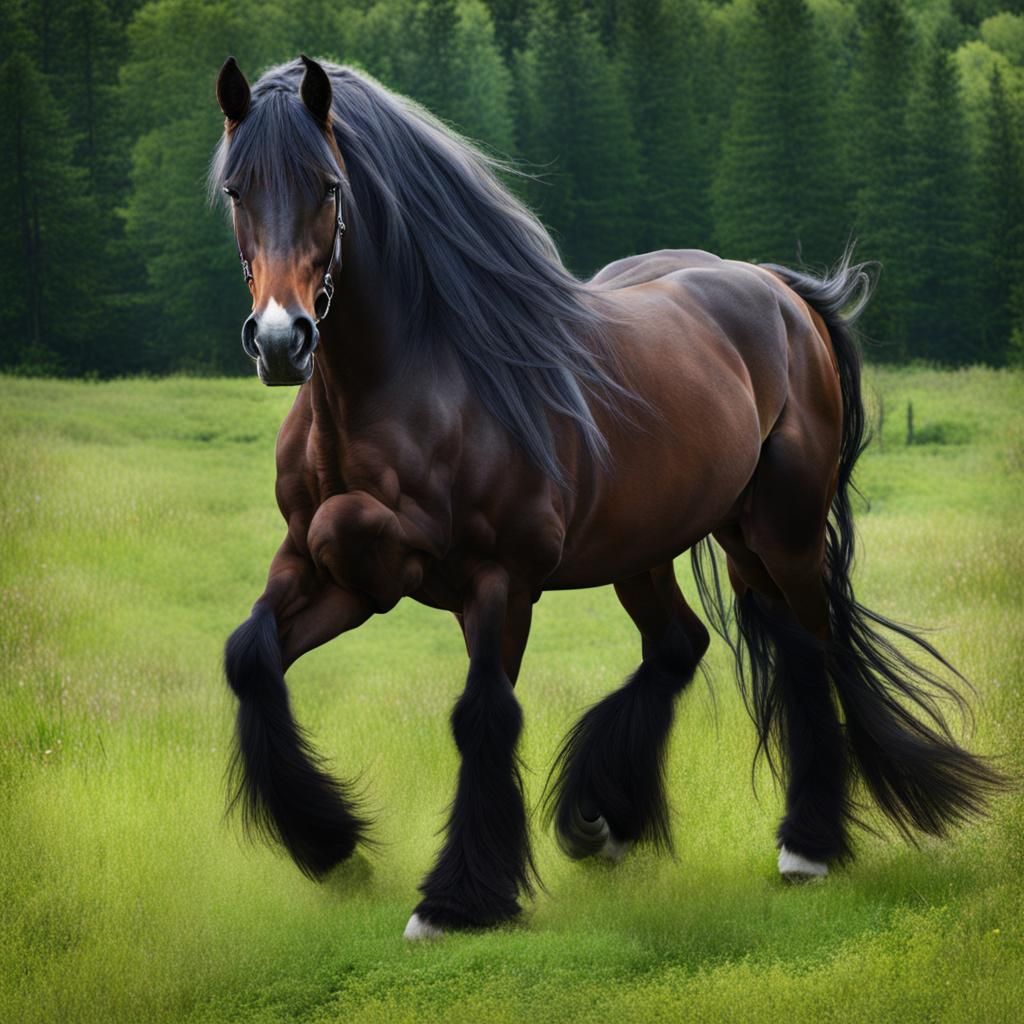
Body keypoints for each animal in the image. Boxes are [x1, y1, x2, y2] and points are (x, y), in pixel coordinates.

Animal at [212, 56, 1005, 940]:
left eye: (328, 187)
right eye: (237, 189)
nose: (281, 341)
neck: (416, 381)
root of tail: (779, 288)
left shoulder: (500, 580)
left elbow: (481, 712)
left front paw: (456, 902)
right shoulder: (318, 572)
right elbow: (252, 653)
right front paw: (330, 845)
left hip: (783, 533)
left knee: (809, 650)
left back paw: (806, 846)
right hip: (672, 545)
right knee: (682, 646)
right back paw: (603, 818)